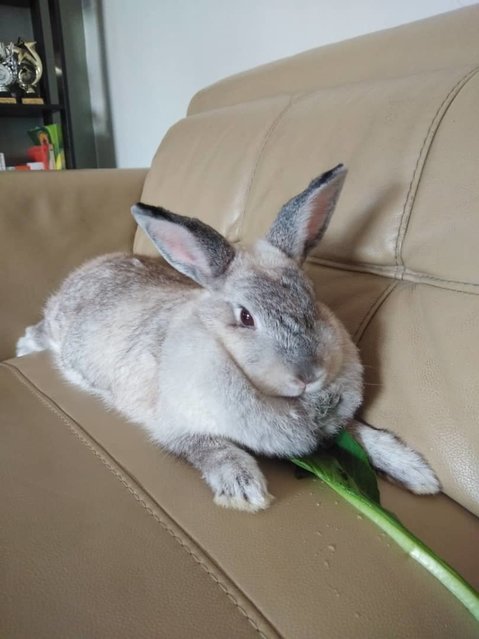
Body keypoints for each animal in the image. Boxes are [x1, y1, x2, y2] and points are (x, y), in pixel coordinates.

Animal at [16, 166, 440, 516]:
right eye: (246, 317)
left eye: (313, 299)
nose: (308, 374)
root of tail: (89, 267)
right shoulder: (179, 427)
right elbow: (212, 448)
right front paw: (245, 491)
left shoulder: (337, 426)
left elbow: (360, 431)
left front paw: (418, 473)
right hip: (57, 328)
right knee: (39, 332)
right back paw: (23, 346)